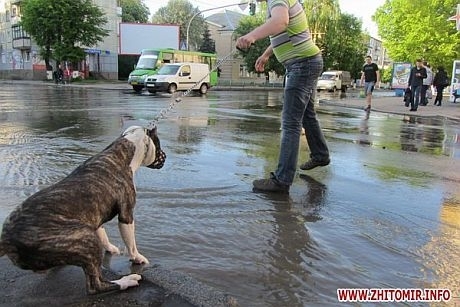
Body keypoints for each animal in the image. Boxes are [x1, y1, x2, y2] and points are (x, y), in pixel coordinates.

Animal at [0, 125, 165, 296]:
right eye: (159, 145)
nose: (164, 156)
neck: (123, 151)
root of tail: (7, 241)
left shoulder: (95, 215)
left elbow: (103, 234)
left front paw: (110, 248)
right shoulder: (126, 214)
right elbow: (131, 242)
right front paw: (137, 257)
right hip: (86, 239)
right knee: (95, 285)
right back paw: (126, 281)